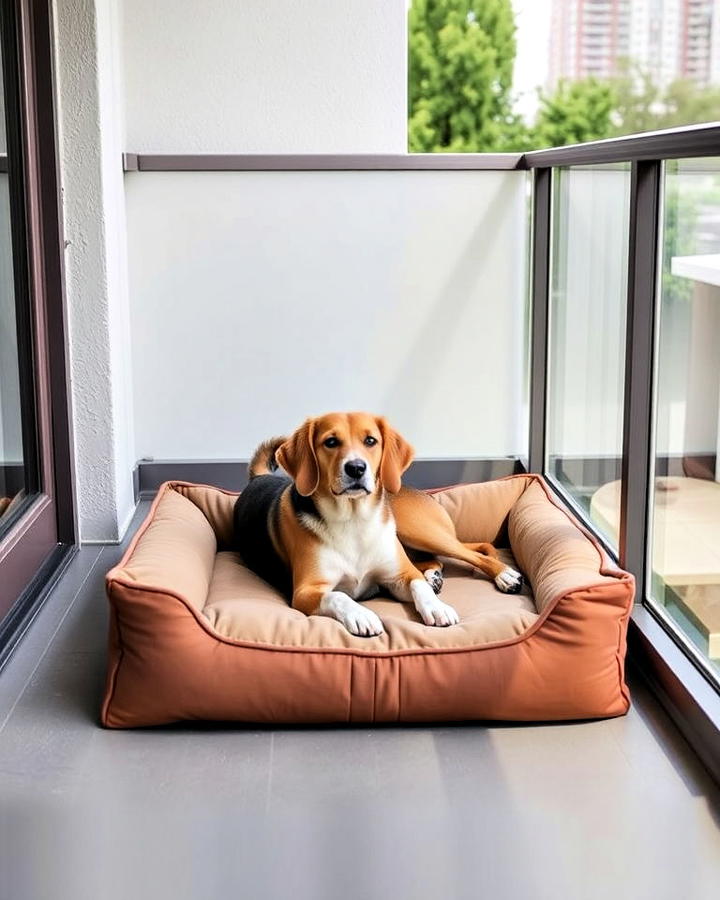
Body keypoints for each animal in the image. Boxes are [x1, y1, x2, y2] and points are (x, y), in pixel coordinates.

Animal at [236, 412, 524, 636]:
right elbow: (339, 595)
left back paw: (505, 575)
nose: (356, 468)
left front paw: (436, 607)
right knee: (437, 560)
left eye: (370, 441)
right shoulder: (306, 591)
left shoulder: (401, 576)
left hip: (419, 530)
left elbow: (418, 585)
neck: (353, 520)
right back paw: (436, 576)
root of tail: (257, 477)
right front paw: (361, 615)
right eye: (330, 442)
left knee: (475, 550)